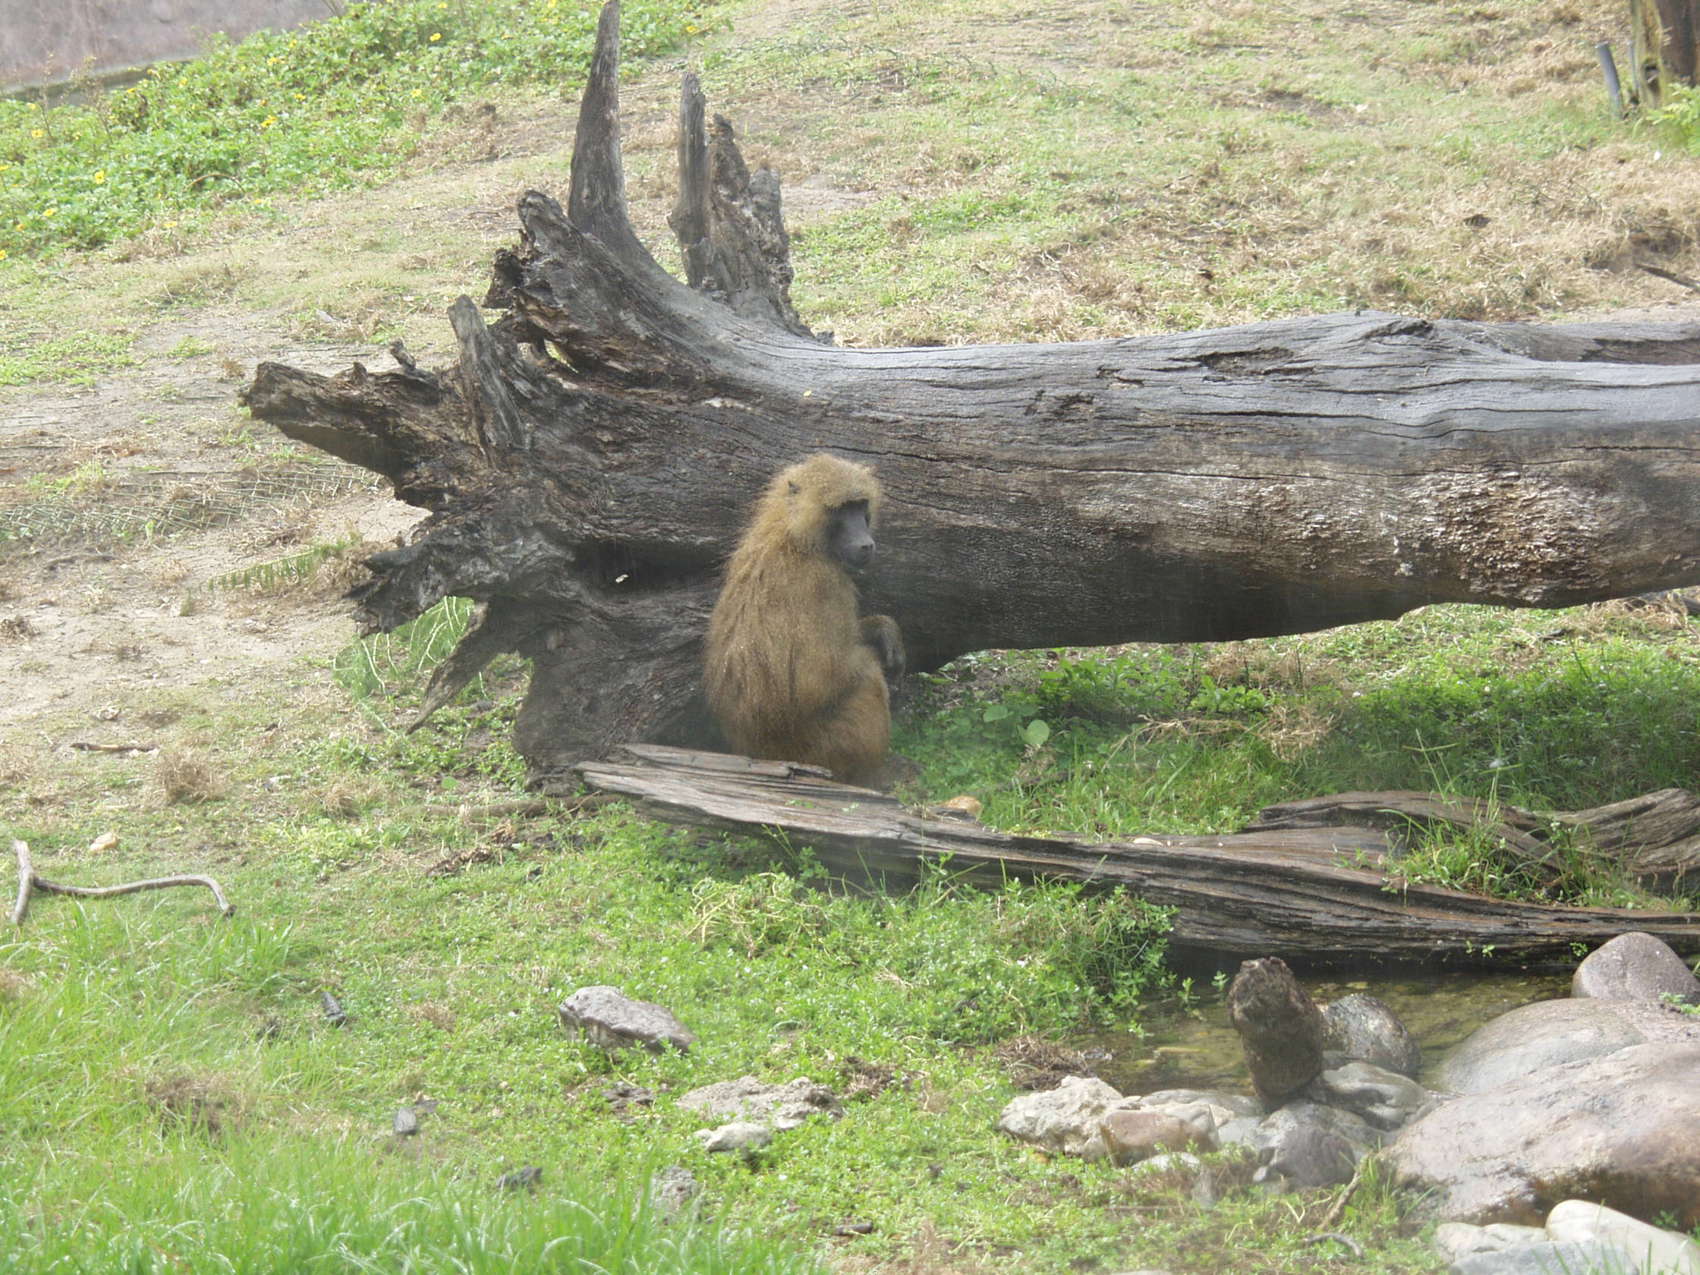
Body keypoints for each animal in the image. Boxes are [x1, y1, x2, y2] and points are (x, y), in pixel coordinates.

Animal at [704, 453, 904, 787]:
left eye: (859, 505)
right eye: (841, 509)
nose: (866, 544)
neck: (795, 535)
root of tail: (759, 753)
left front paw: (882, 630)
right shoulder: (824, 581)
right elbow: (818, 680)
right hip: (820, 750)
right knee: (868, 679)